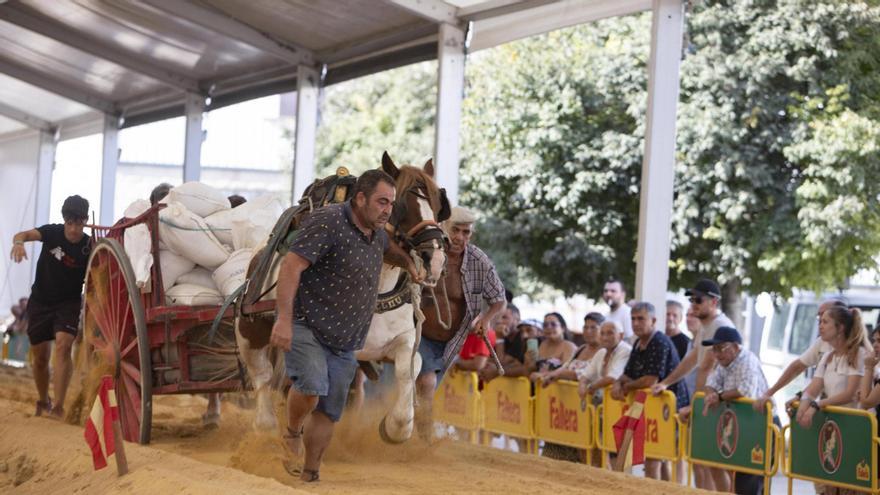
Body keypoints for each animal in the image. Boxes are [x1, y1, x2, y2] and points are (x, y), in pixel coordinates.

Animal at [232, 152, 446, 446]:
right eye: (400, 205)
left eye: (437, 204)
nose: (433, 259)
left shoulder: (403, 340)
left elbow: (408, 372)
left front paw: (394, 428)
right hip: (250, 333)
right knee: (263, 379)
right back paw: (267, 431)